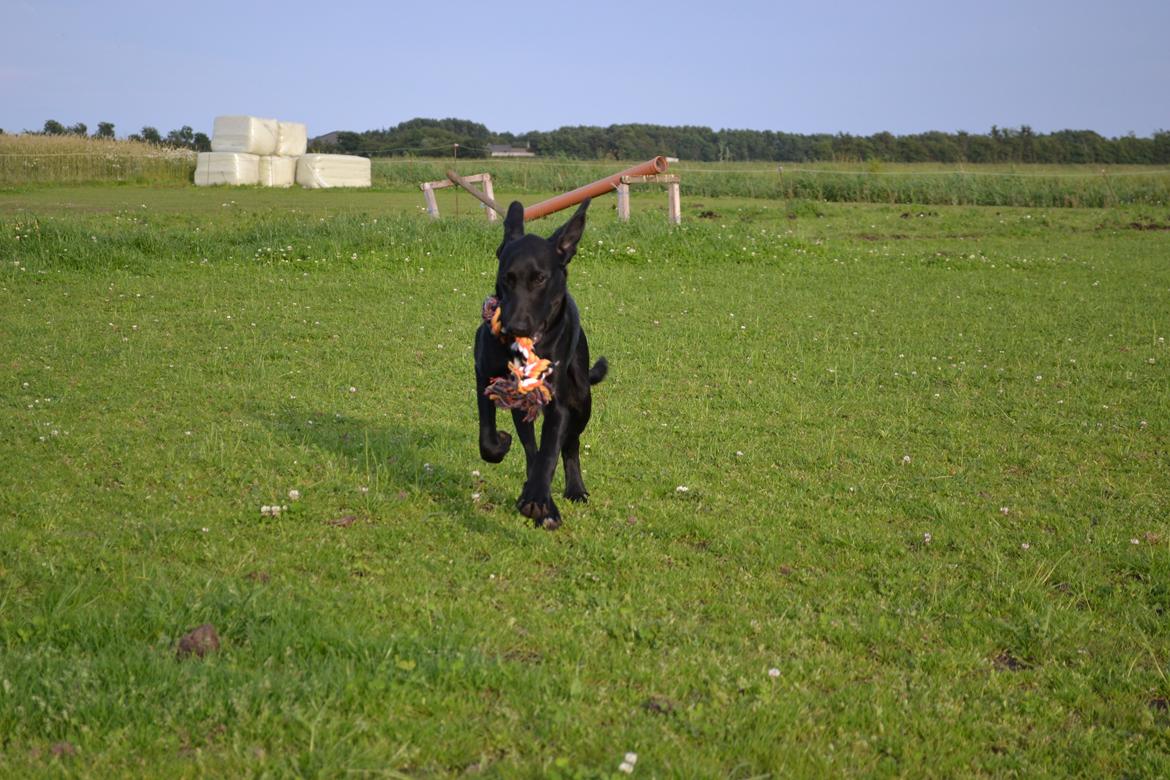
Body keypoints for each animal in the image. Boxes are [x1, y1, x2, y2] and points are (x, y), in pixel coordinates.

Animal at [472, 199, 608, 530]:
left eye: (540, 279)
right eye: (507, 278)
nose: (516, 326)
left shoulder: (558, 402)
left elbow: (550, 452)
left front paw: (538, 502)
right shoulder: (484, 374)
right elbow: (488, 436)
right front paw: (501, 444)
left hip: (582, 397)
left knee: (570, 444)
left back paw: (573, 489)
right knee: (530, 445)